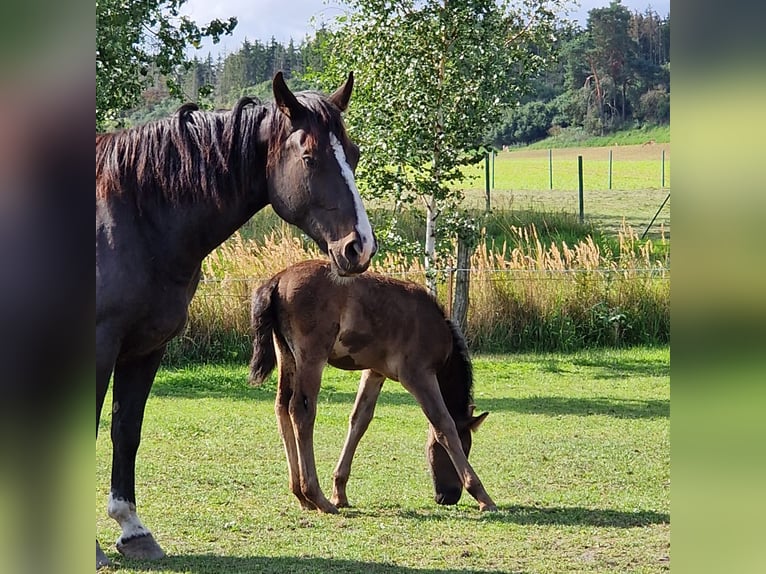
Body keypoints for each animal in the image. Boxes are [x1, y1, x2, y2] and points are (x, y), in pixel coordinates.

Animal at [248, 260, 498, 512]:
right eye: (466, 447)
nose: (447, 496)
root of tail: (278, 279)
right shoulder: (418, 375)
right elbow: (443, 423)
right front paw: (483, 496)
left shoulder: (374, 372)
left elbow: (360, 420)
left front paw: (340, 492)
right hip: (312, 356)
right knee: (301, 412)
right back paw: (316, 497)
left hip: (286, 353)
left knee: (281, 407)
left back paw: (301, 495)